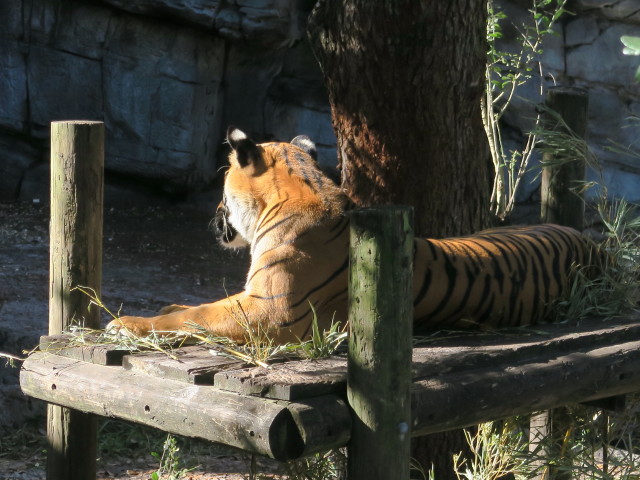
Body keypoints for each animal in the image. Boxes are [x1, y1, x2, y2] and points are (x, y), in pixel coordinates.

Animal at [106, 127, 593, 343]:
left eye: (222, 181)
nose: (214, 214)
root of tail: (592, 243)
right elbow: (199, 305)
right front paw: (165, 306)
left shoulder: (271, 309)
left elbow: (198, 315)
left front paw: (126, 323)